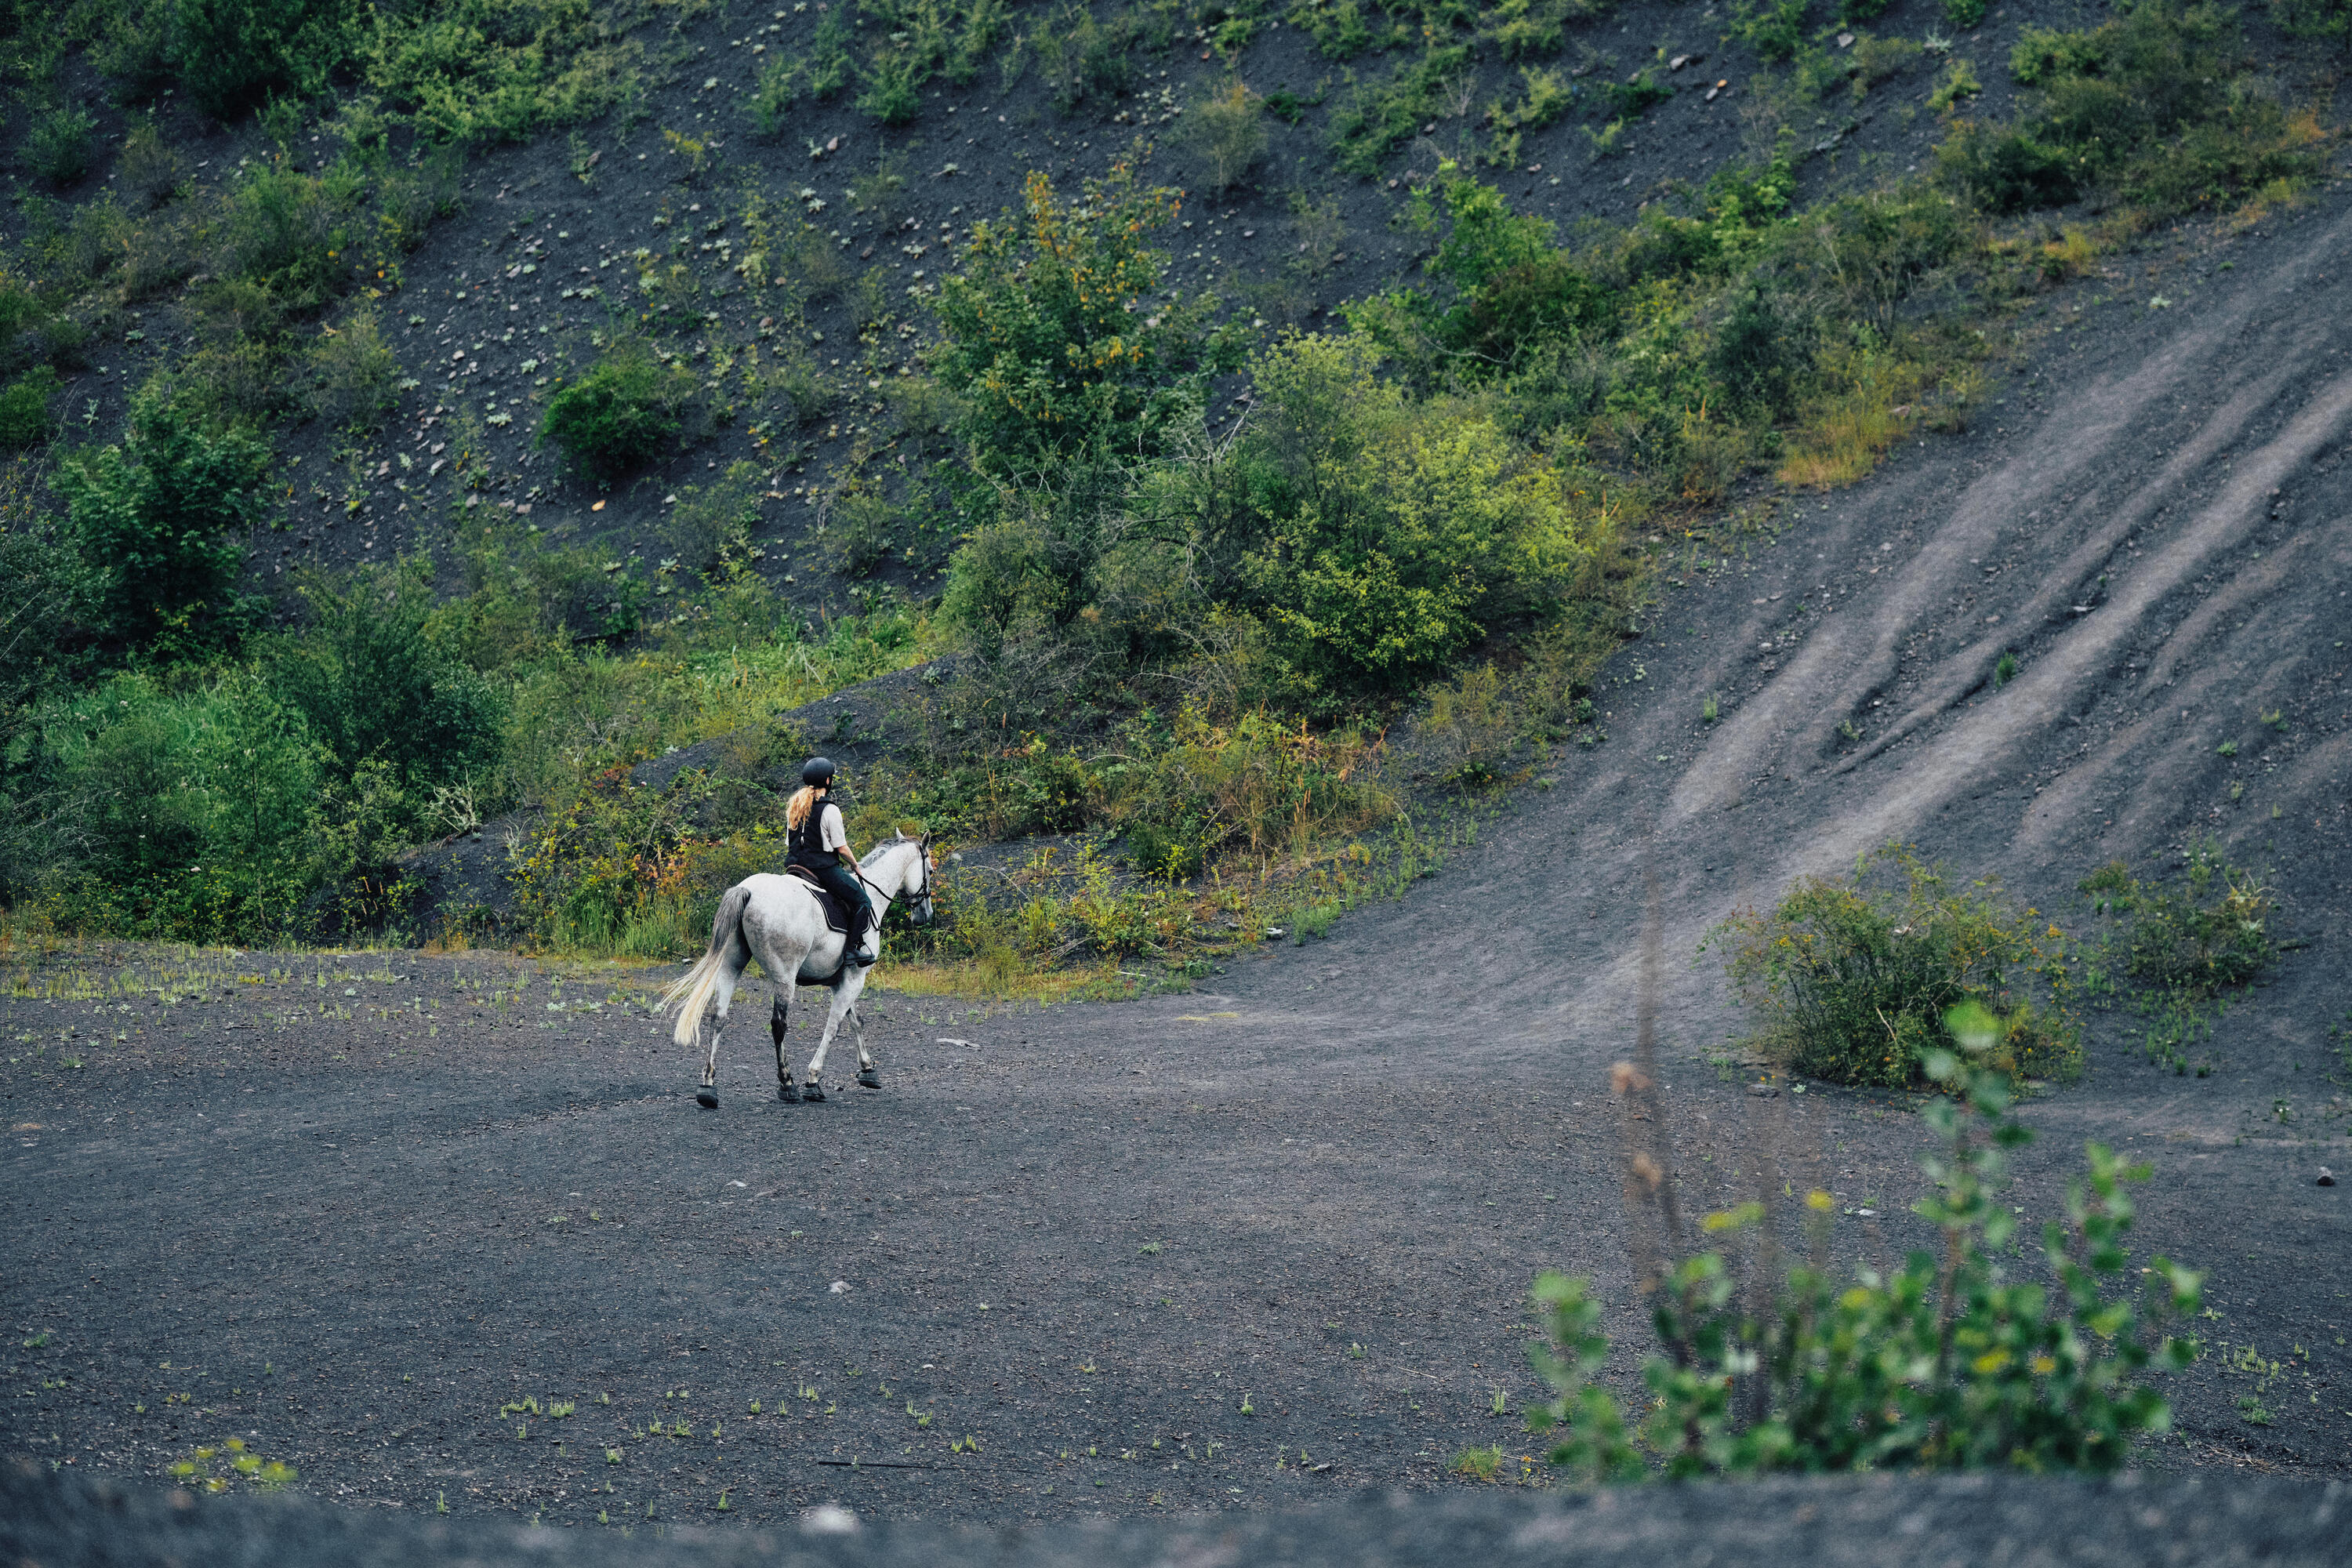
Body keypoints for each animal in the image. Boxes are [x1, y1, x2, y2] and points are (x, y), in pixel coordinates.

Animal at [662, 833, 936, 1108]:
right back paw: (787, 1084)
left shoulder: (843, 980)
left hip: (731, 965)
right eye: (931, 871)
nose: (925, 915)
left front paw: (868, 1070)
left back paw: (708, 1086)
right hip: (785, 977)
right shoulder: (855, 978)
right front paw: (813, 1079)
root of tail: (748, 890)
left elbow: (855, 1022)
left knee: (718, 1017)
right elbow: (834, 1026)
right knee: (778, 1024)